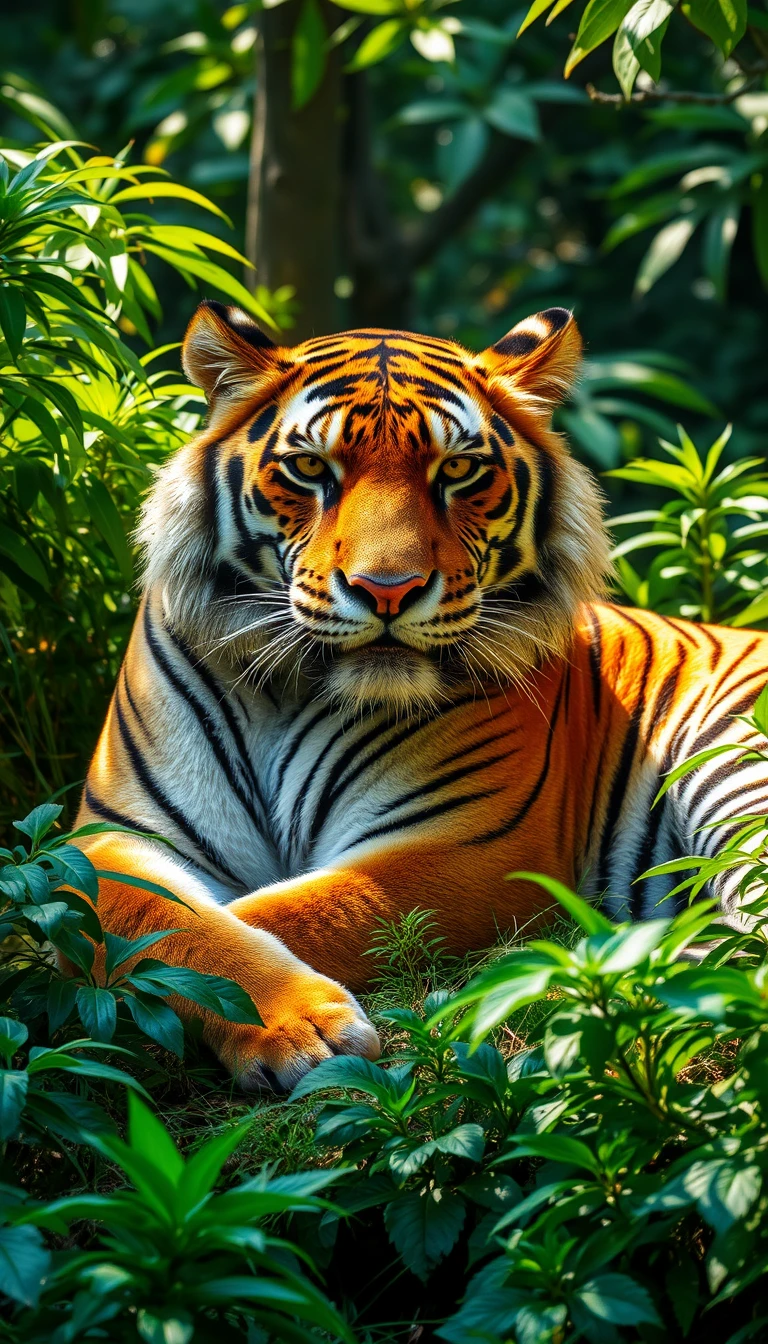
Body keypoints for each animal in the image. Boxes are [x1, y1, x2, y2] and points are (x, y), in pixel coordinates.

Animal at [74, 300, 768, 1090]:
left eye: (458, 470)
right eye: (310, 468)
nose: (387, 590)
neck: (288, 693)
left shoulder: (466, 842)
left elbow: (289, 912)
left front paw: (307, 1026)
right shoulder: (110, 837)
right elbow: (168, 923)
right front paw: (299, 1025)